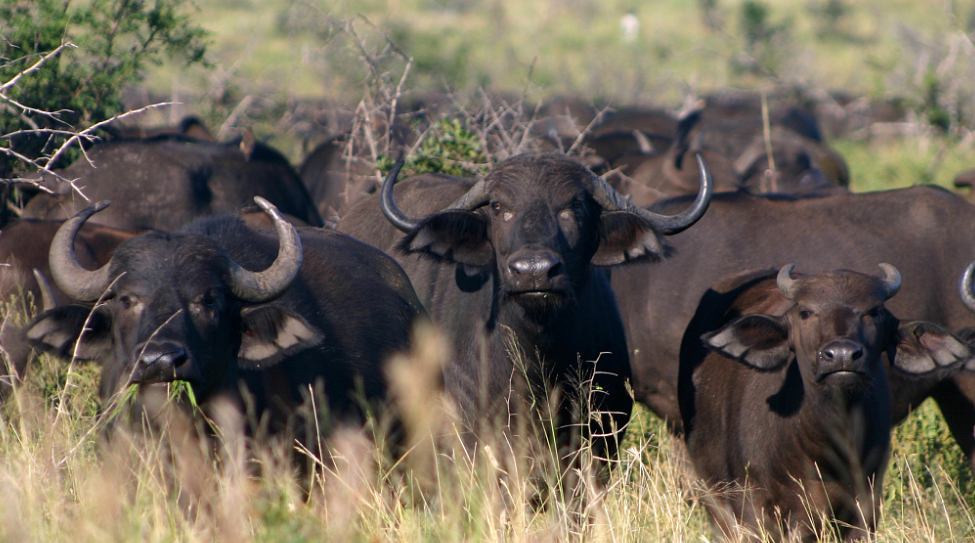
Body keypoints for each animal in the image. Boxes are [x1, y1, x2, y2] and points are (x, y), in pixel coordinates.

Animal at [680, 264, 975, 540]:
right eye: (805, 312)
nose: (842, 355)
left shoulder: (864, 508)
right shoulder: (755, 508)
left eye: (874, 312)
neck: (823, 446)